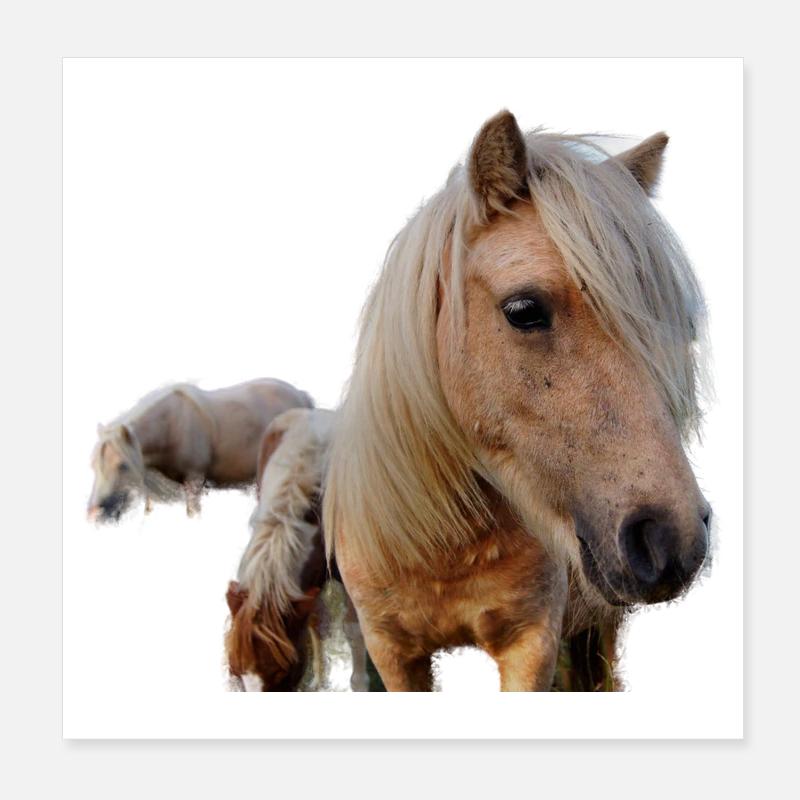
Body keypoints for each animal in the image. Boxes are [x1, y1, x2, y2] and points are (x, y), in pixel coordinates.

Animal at [88, 378, 313, 522]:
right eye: (94, 466)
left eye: (123, 465)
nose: (93, 513)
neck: (171, 426)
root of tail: (302, 397)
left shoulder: (194, 481)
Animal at [319, 110, 711, 691]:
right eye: (524, 310)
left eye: (680, 327)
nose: (672, 540)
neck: (444, 548)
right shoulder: (391, 653)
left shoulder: (530, 645)